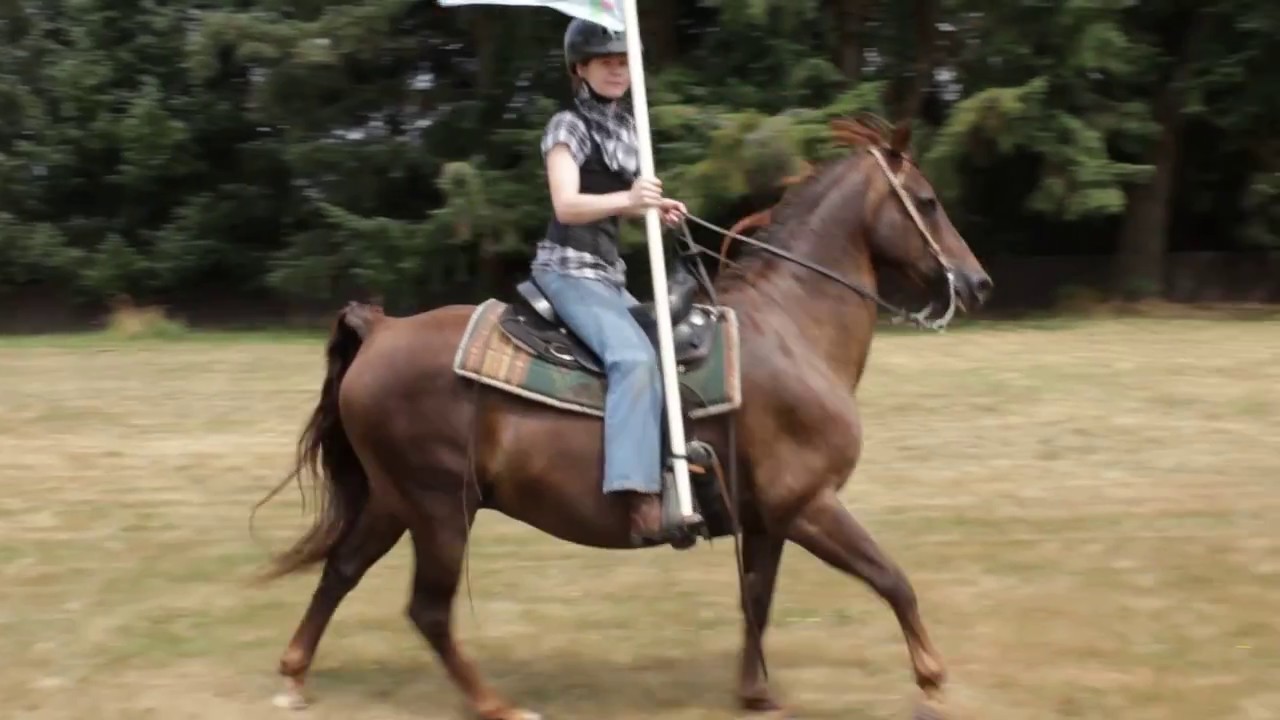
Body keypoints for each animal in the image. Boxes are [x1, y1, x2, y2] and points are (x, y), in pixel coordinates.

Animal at [255, 114, 993, 720]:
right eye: (928, 201)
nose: (977, 282)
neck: (793, 331)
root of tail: (382, 330)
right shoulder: (810, 502)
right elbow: (892, 579)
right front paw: (932, 683)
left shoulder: (769, 518)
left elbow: (756, 599)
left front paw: (756, 694)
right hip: (440, 507)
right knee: (429, 610)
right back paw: (496, 705)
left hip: (394, 500)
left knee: (342, 571)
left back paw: (293, 676)